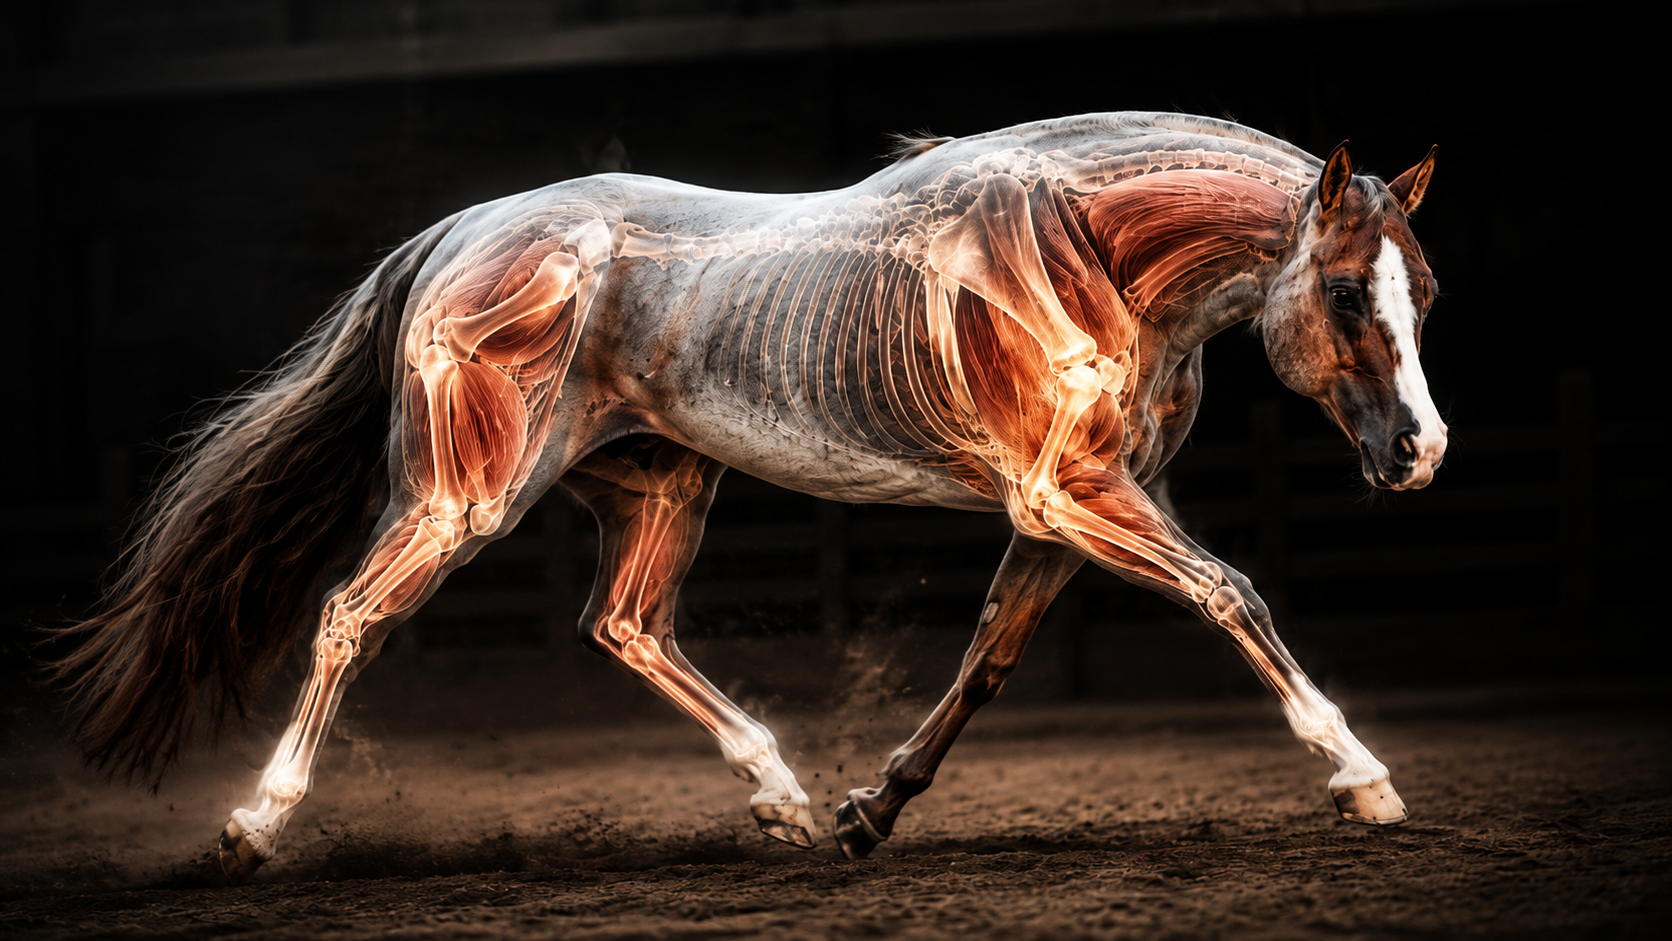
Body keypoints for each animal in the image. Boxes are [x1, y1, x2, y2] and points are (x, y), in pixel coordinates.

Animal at [52, 112, 1444, 882]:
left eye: (1421, 292)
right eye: (1341, 292)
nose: (1419, 453)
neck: (1080, 247)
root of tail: (459, 232)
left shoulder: (1070, 506)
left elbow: (986, 660)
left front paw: (868, 811)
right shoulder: (1069, 493)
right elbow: (1231, 591)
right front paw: (1364, 778)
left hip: (662, 485)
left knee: (623, 624)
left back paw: (779, 795)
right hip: (465, 498)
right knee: (351, 615)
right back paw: (252, 826)